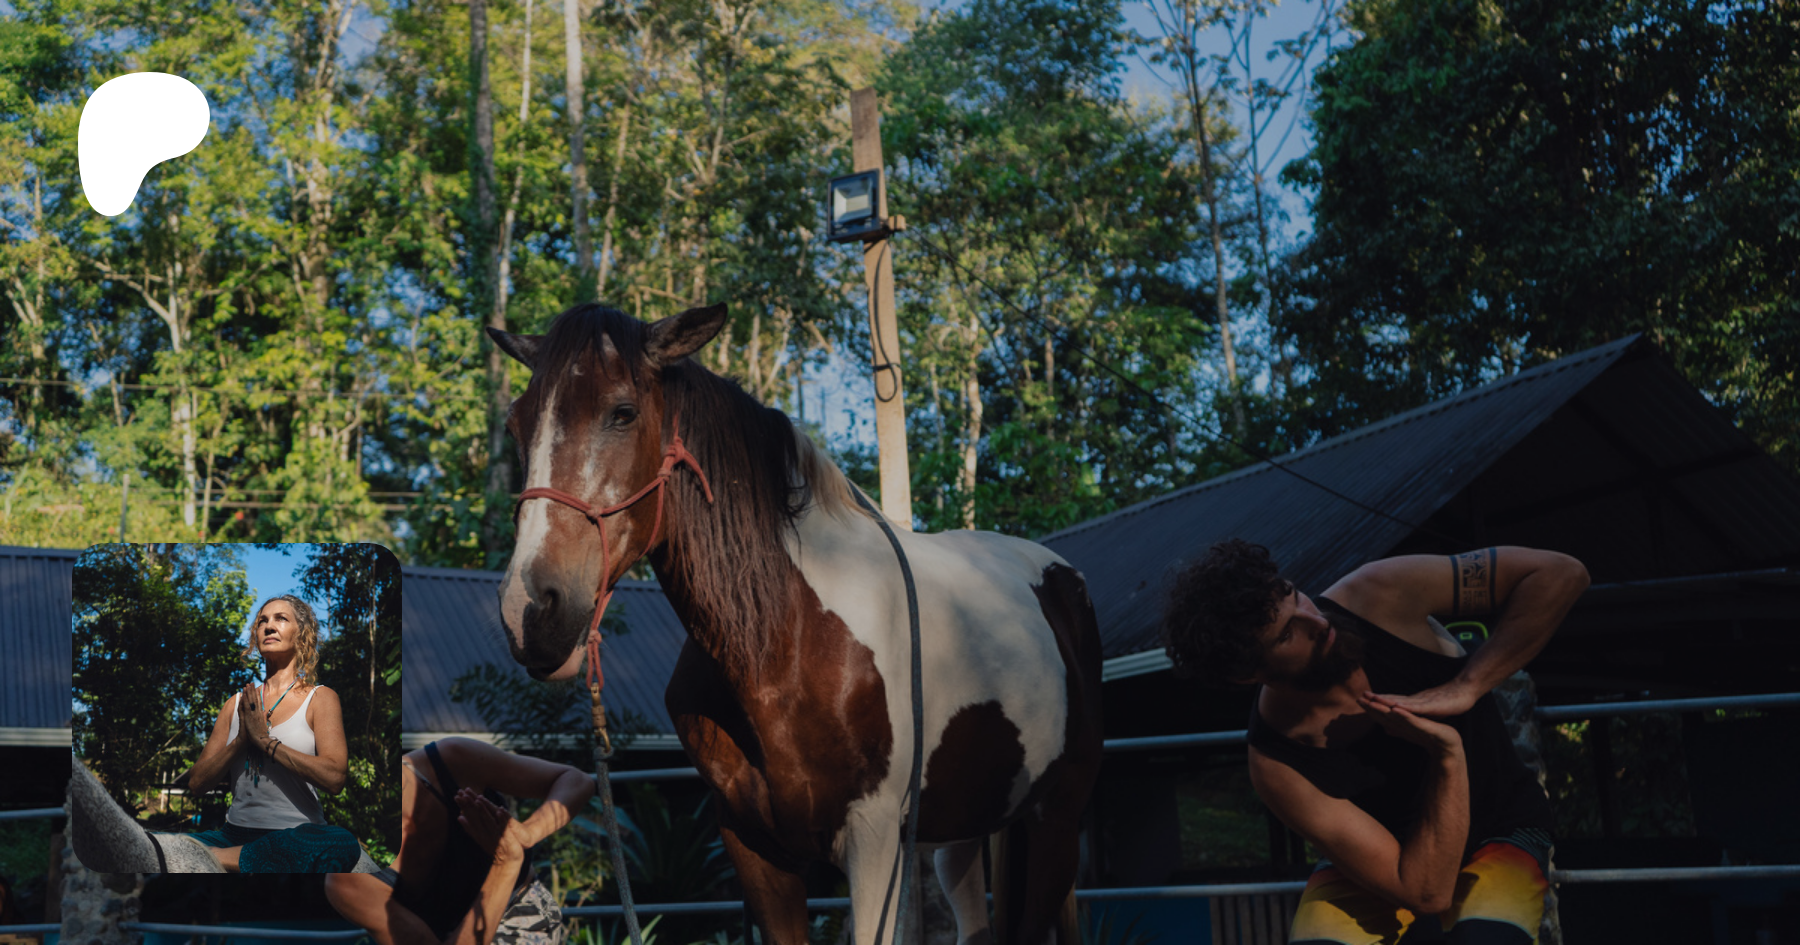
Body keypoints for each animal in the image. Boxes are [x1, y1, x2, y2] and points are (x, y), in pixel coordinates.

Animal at [489, 301, 1103, 945]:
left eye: (623, 412)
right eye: (516, 425)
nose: (530, 610)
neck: (785, 642)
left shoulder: (875, 839)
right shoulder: (753, 844)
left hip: (1056, 819)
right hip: (963, 830)